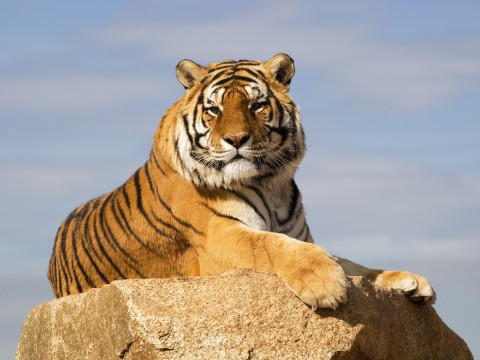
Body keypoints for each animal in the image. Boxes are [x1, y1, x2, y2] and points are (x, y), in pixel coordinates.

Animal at [47, 53, 436, 310]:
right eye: (214, 110)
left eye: (256, 105)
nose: (236, 139)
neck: (271, 185)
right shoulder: (219, 236)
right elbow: (271, 245)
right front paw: (323, 282)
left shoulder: (304, 235)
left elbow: (354, 265)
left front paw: (410, 281)